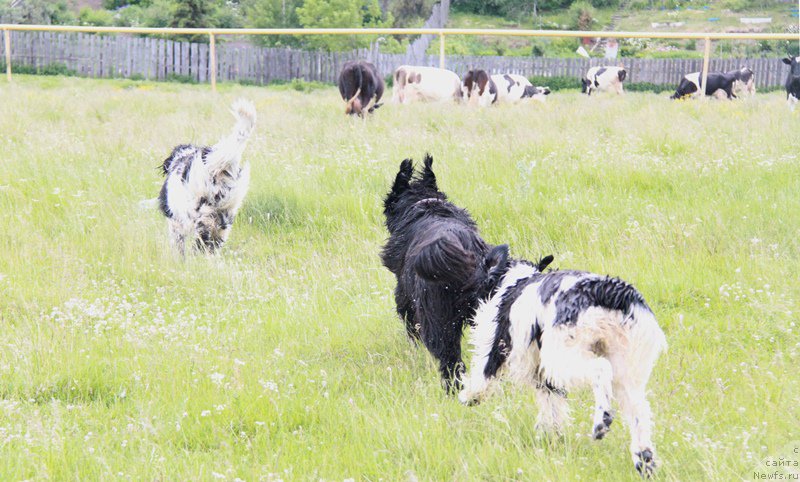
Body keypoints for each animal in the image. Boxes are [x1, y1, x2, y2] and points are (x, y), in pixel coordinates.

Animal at [156, 99, 256, 254]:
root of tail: (217, 166)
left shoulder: (176, 222)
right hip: (226, 215)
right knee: (214, 242)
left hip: (201, 210)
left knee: (201, 238)